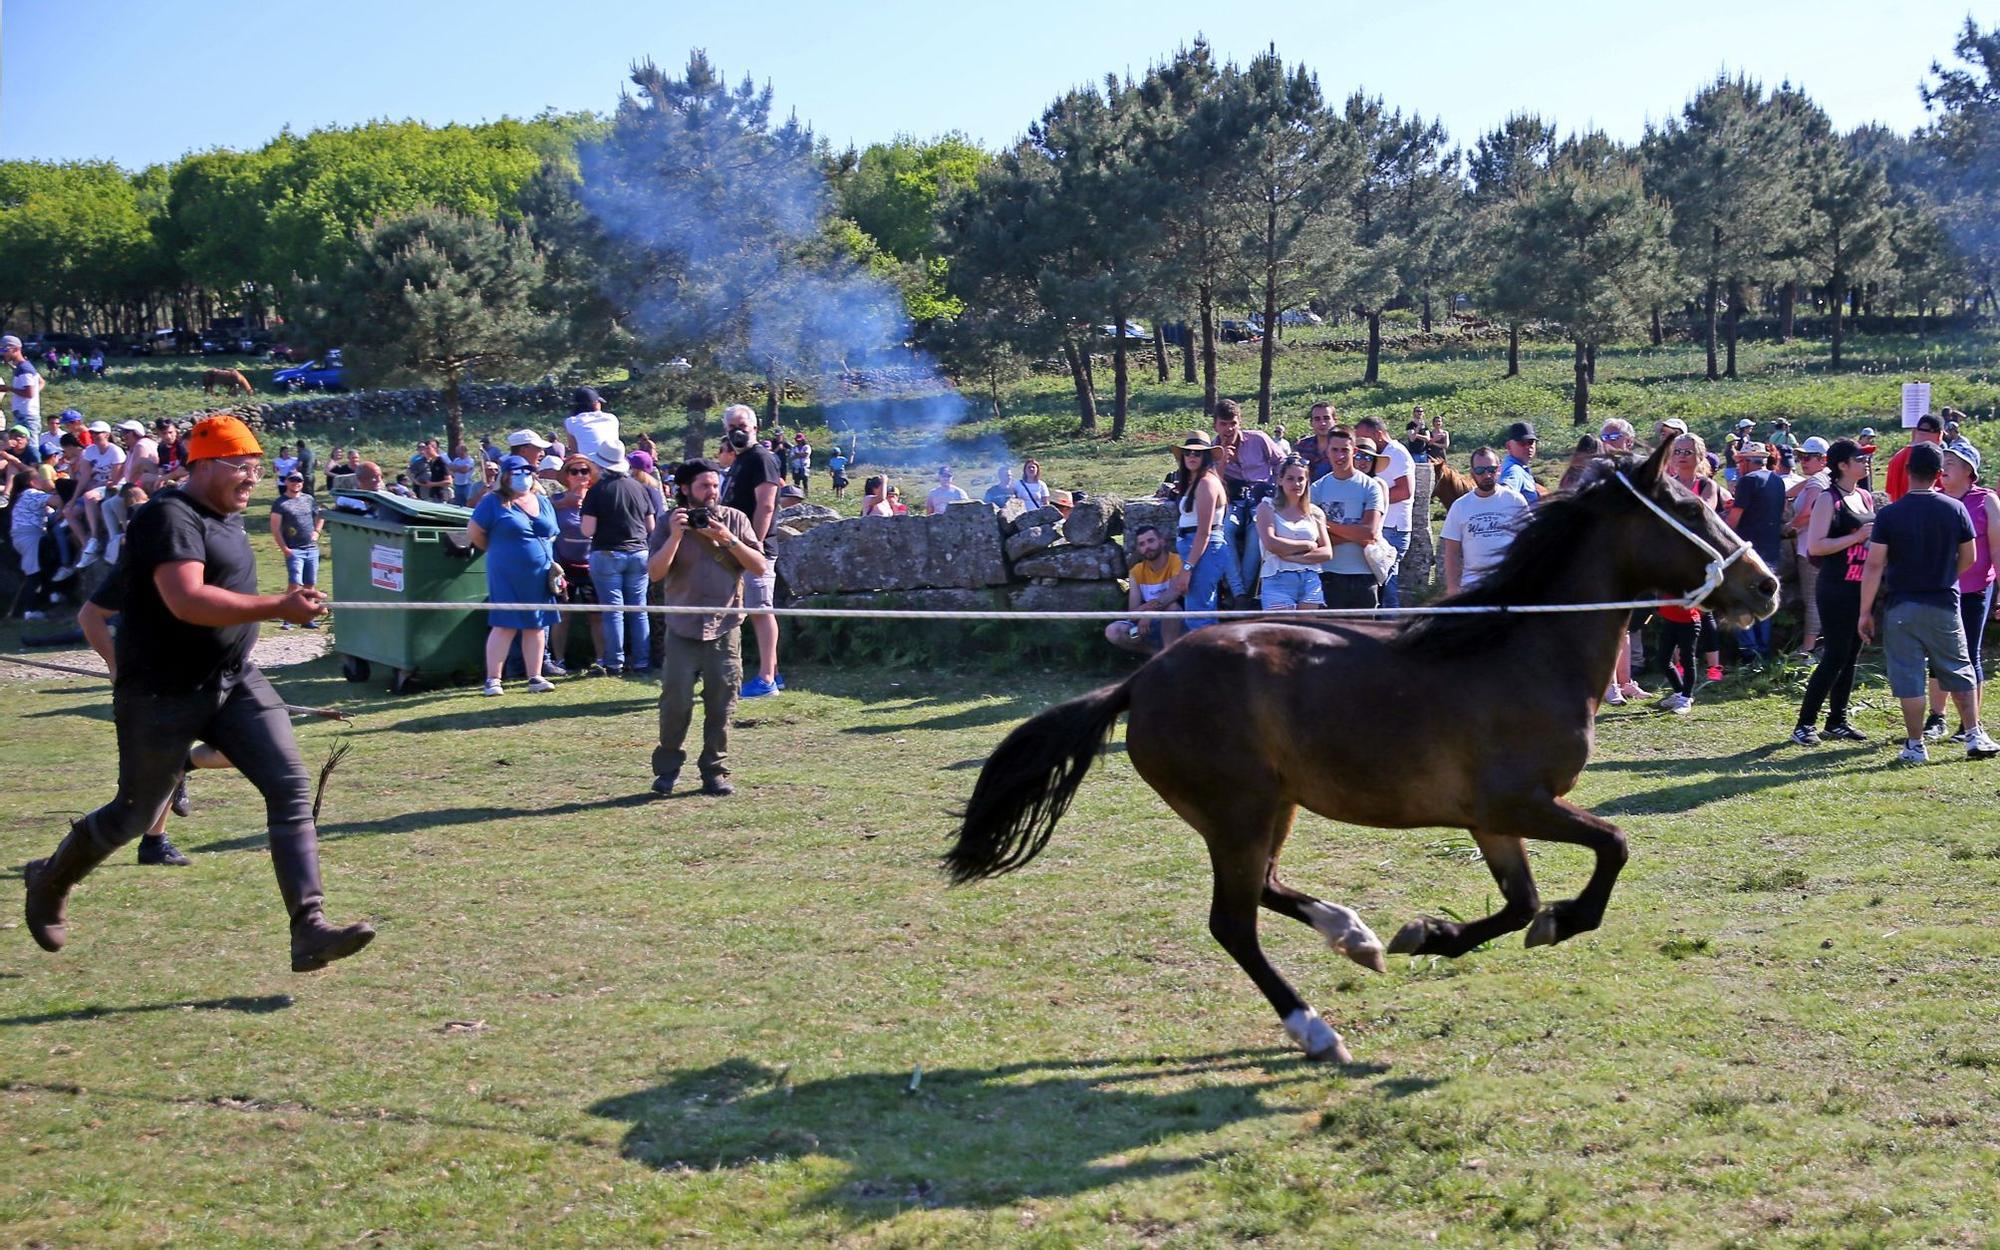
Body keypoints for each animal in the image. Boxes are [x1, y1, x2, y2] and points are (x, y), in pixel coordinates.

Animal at [944, 444, 1776, 1056]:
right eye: (1691, 508)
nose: (1764, 585)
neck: (1526, 652)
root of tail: (1141, 680)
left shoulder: (1492, 819)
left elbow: (1520, 903)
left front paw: (1429, 935)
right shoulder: (1518, 802)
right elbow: (1612, 848)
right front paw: (1551, 924)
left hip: (1267, 810)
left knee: (1269, 889)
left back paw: (1355, 934)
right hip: (1238, 813)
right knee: (1233, 923)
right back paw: (1315, 1028)